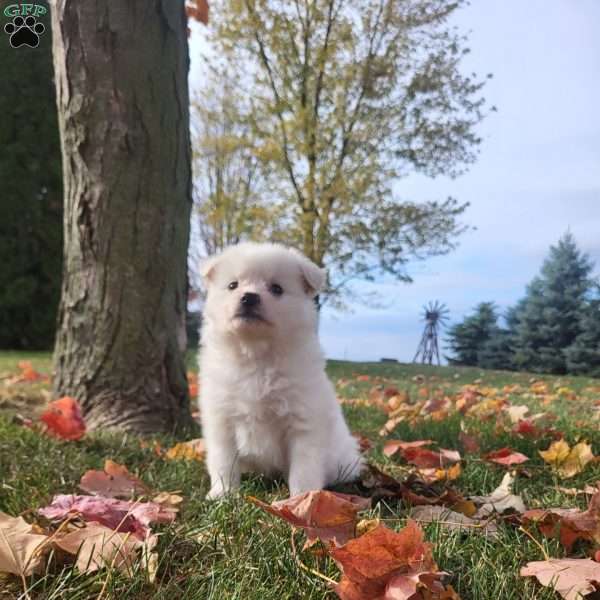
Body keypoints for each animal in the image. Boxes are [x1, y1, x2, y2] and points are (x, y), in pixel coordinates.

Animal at [200, 241, 360, 500]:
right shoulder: (221, 420)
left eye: (276, 288)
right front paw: (223, 493)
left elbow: (303, 469)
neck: (256, 355)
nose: (249, 297)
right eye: (233, 285)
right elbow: (223, 461)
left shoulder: (303, 423)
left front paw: (302, 499)